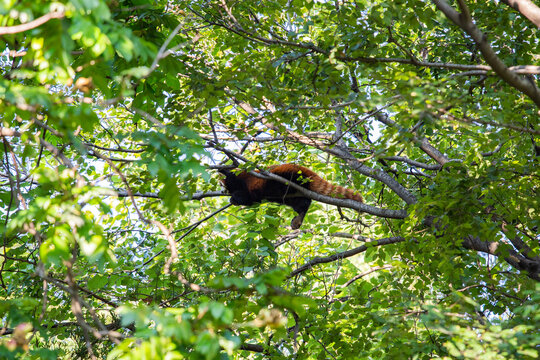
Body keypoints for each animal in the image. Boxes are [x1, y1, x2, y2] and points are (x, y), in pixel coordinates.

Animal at [218, 163, 362, 228]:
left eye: (221, 186)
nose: (221, 191)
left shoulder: (242, 181)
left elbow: (242, 194)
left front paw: (223, 170)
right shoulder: (252, 196)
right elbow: (249, 200)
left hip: (287, 173)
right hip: (293, 198)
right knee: (303, 204)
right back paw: (299, 218)